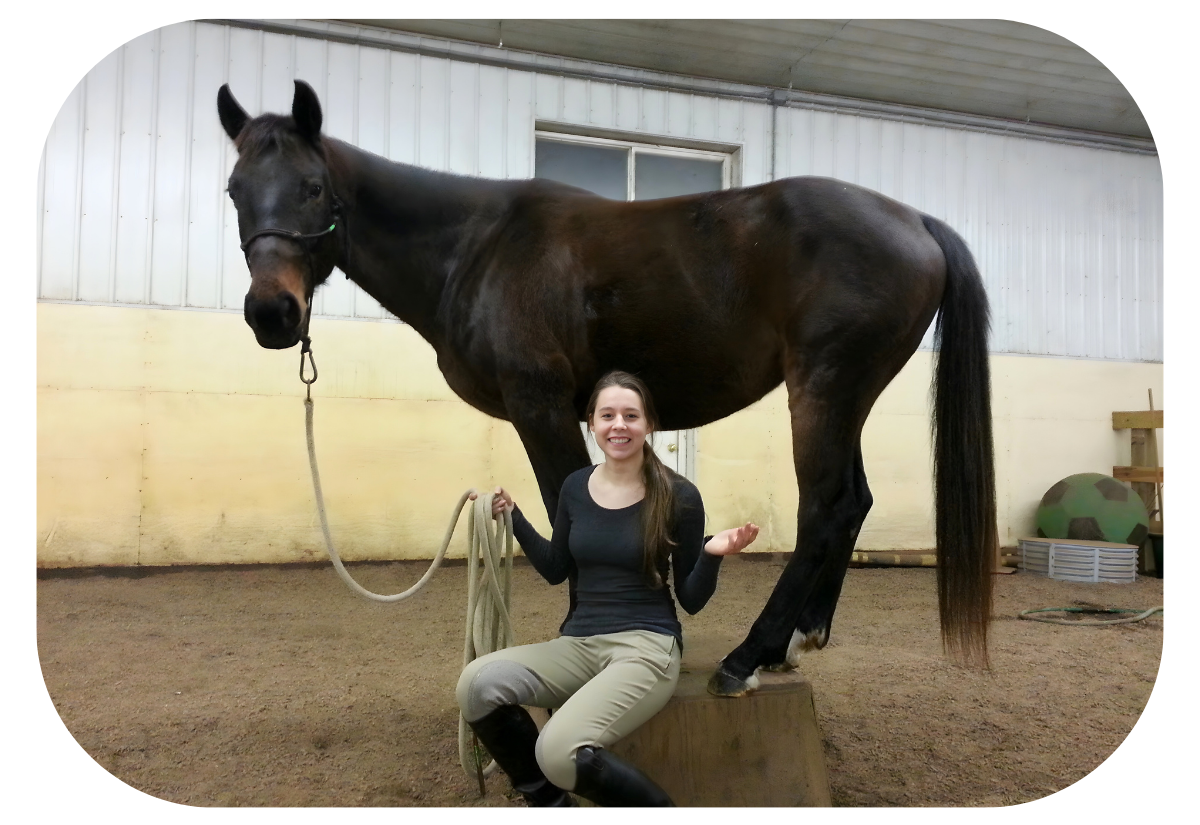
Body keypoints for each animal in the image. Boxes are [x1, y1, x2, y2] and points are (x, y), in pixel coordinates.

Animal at [217, 80, 997, 697]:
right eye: (234, 191)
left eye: (313, 187)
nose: (271, 313)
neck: (475, 246)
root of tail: (916, 222)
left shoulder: (541, 405)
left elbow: (569, 506)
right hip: (846, 396)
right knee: (854, 501)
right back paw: (795, 642)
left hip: (824, 387)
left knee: (826, 506)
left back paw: (748, 655)